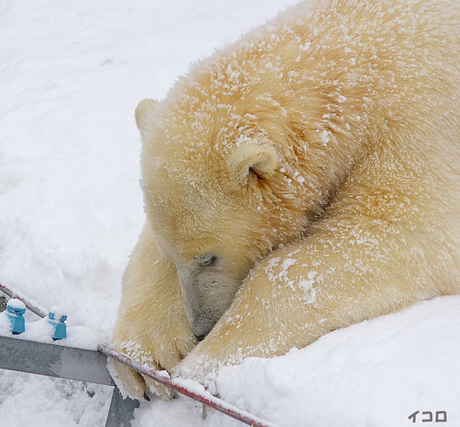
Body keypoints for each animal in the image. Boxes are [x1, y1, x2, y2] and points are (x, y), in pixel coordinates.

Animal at [111, 0, 460, 402]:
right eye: (174, 256)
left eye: (209, 257)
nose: (200, 327)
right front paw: (148, 357)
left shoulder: (418, 122)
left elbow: (403, 230)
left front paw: (203, 362)